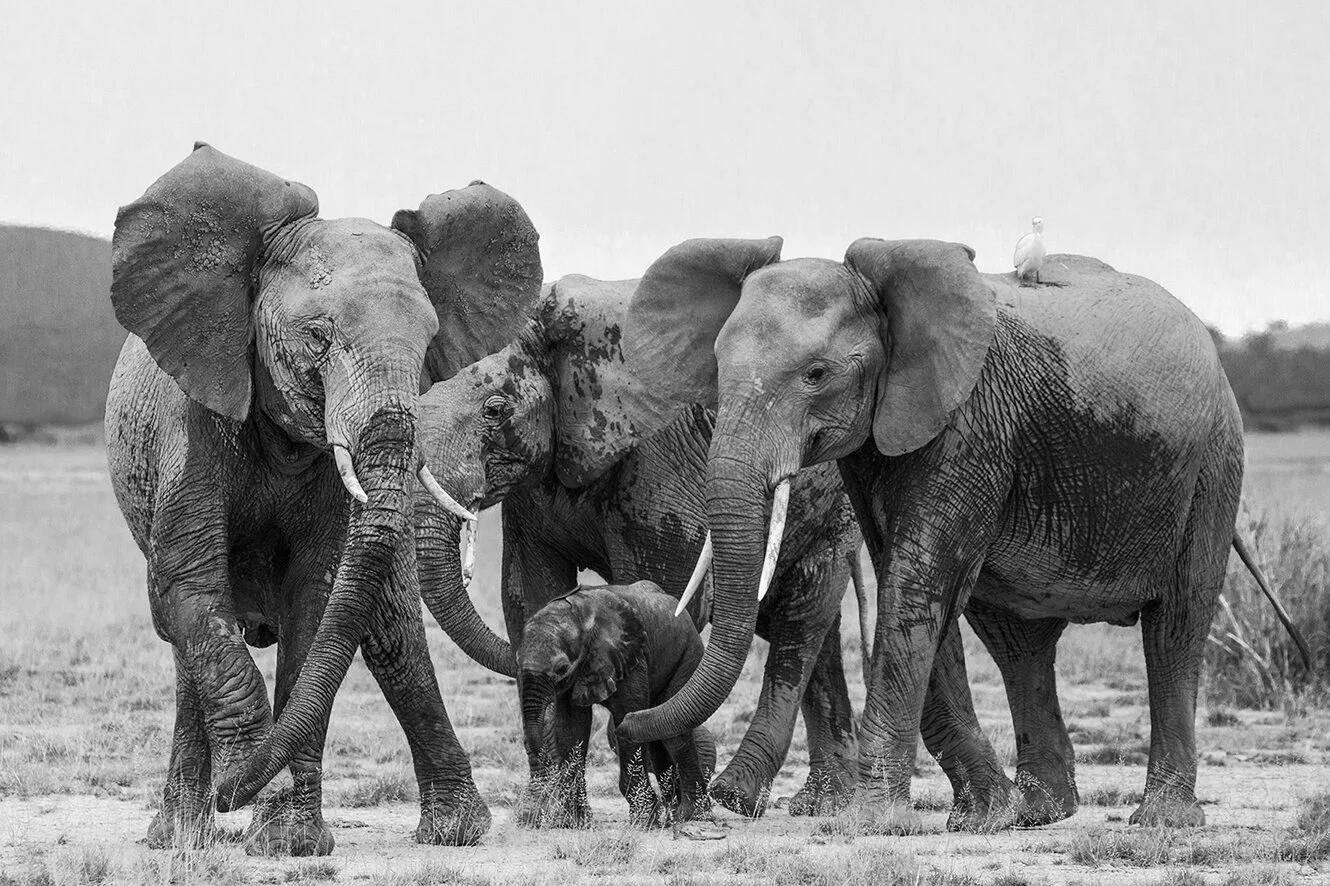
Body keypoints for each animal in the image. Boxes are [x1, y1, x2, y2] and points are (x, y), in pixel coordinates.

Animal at [104, 143, 541, 853]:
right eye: (318, 337)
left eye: (430, 345)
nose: (236, 793)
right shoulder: (188, 419)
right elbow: (192, 583)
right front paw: (254, 785)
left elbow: (317, 598)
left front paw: (289, 838)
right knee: (183, 627)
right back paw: (181, 837)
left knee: (392, 629)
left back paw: (455, 831)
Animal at [517, 581, 717, 827]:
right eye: (516, 661)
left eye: (561, 668)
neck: (581, 615)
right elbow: (572, 727)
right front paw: (576, 822)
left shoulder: (631, 657)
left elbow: (627, 711)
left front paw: (644, 821)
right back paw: (672, 816)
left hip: (687, 655)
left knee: (675, 735)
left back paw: (691, 816)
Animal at [616, 236, 1311, 832]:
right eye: (716, 366)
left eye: (815, 374)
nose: (628, 725)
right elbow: (917, 588)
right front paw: (982, 815)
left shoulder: (968, 423)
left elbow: (918, 577)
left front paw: (873, 822)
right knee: (1017, 641)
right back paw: (1038, 812)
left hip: (1212, 466)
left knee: (1175, 626)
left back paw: (1162, 820)